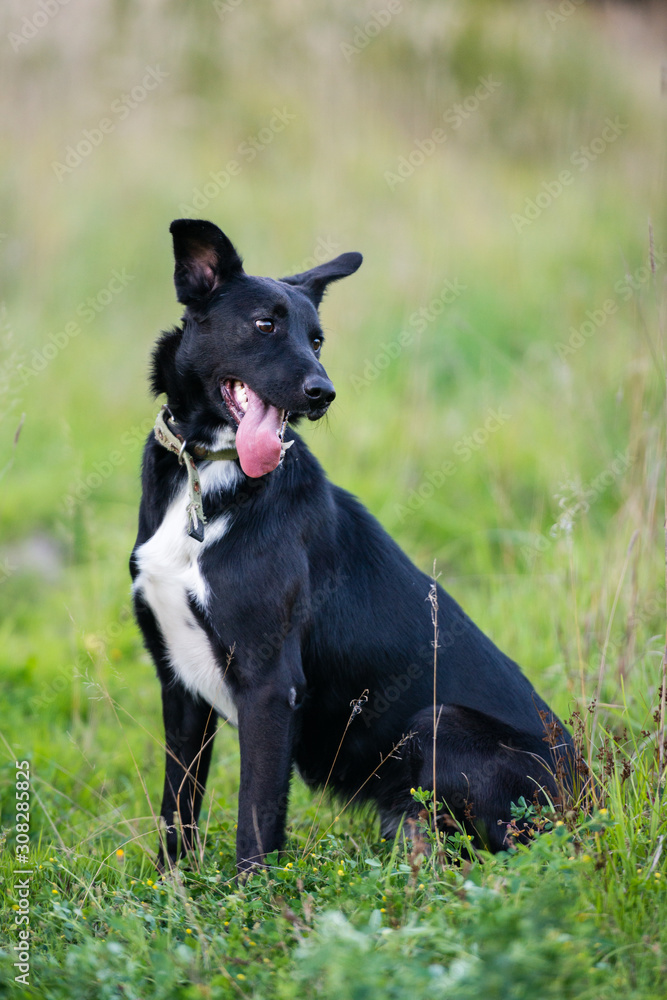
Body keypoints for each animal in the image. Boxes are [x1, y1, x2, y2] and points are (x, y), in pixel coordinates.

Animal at [130, 215, 576, 872]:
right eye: (264, 325)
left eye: (317, 341)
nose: (324, 393)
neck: (209, 474)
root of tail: (592, 796)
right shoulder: (180, 687)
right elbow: (177, 812)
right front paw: (173, 889)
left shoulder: (271, 685)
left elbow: (255, 823)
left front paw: (250, 895)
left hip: (440, 722)